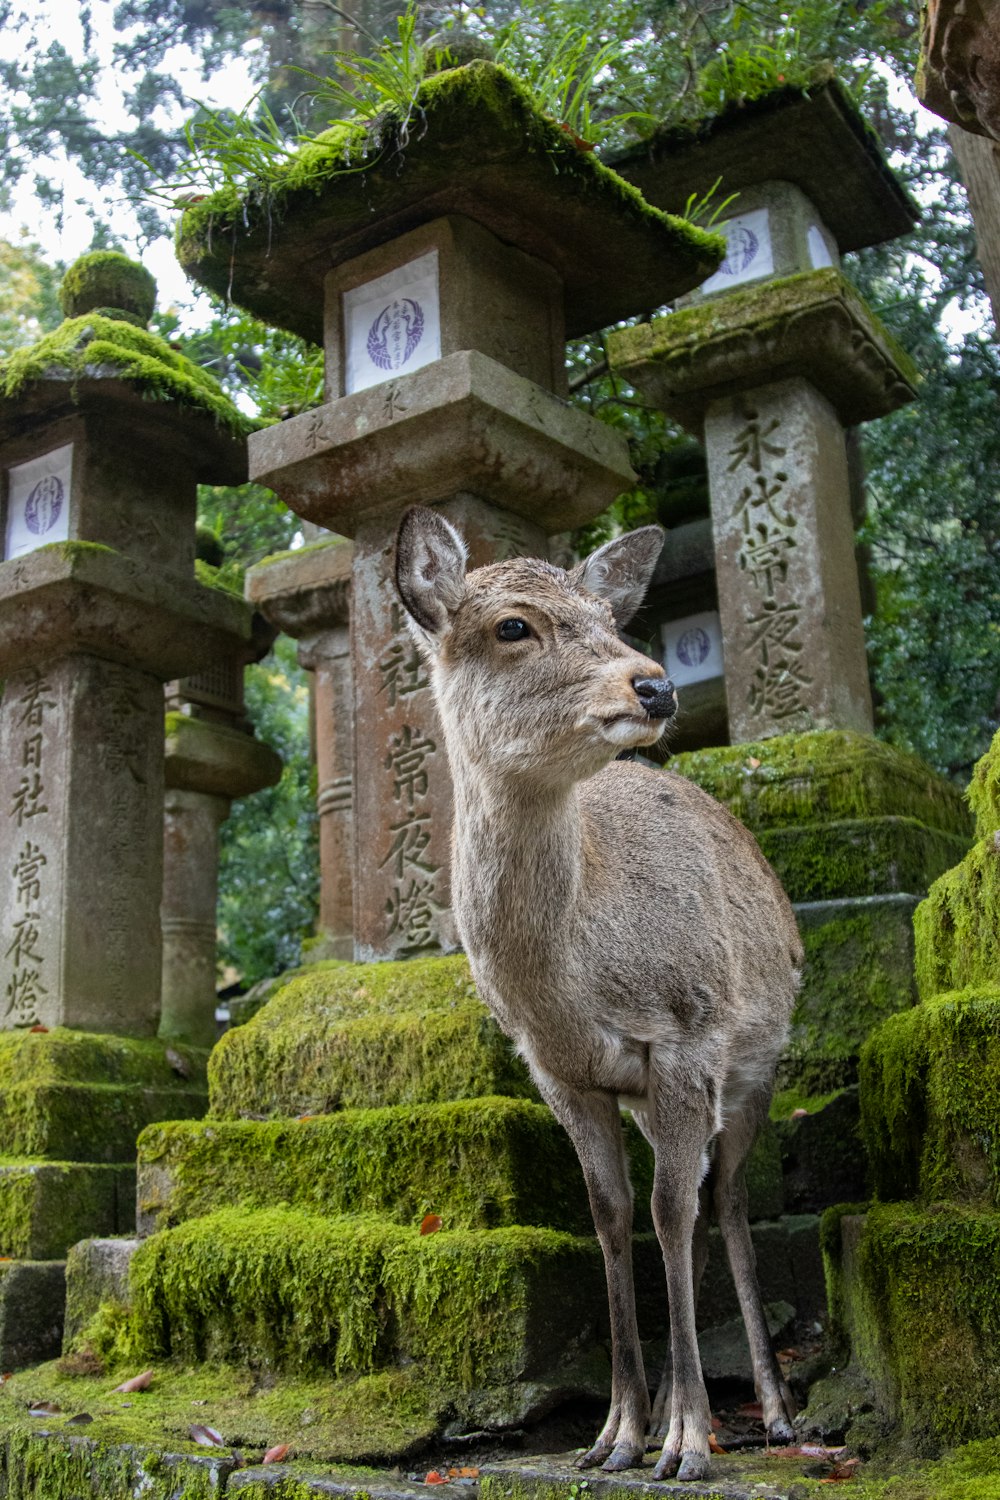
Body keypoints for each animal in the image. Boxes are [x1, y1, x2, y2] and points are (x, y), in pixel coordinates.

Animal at [395, 507, 803, 1488]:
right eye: (513, 626)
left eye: (608, 617)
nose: (653, 684)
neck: (573, 985)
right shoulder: (561, 1073)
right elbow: (611, 1217)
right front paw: (617, 1433)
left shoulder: (689, 1036)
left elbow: (669, 1212)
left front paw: (686, 1443)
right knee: (699, 1201)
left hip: (756, 1070)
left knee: (727, 1201)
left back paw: (772, 1412)